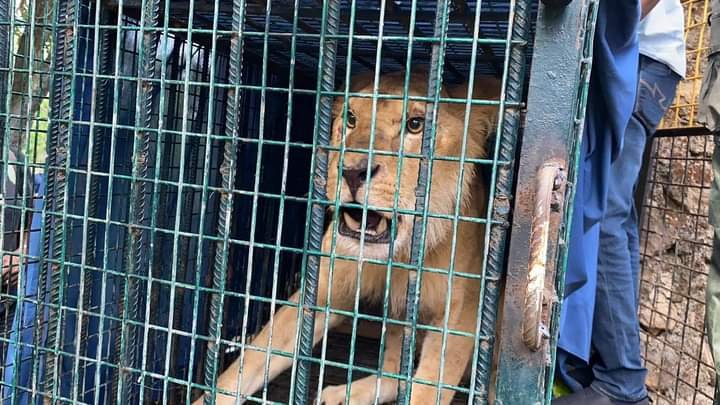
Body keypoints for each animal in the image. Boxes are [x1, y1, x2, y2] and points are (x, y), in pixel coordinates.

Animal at [195, 71, 500, 402]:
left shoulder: (461, 314)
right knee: (393, 376)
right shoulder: (321, 289)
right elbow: (246, 366)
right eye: (351, 118)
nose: (352, 172)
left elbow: (428, 389)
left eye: (416, 124)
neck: (399, 255)